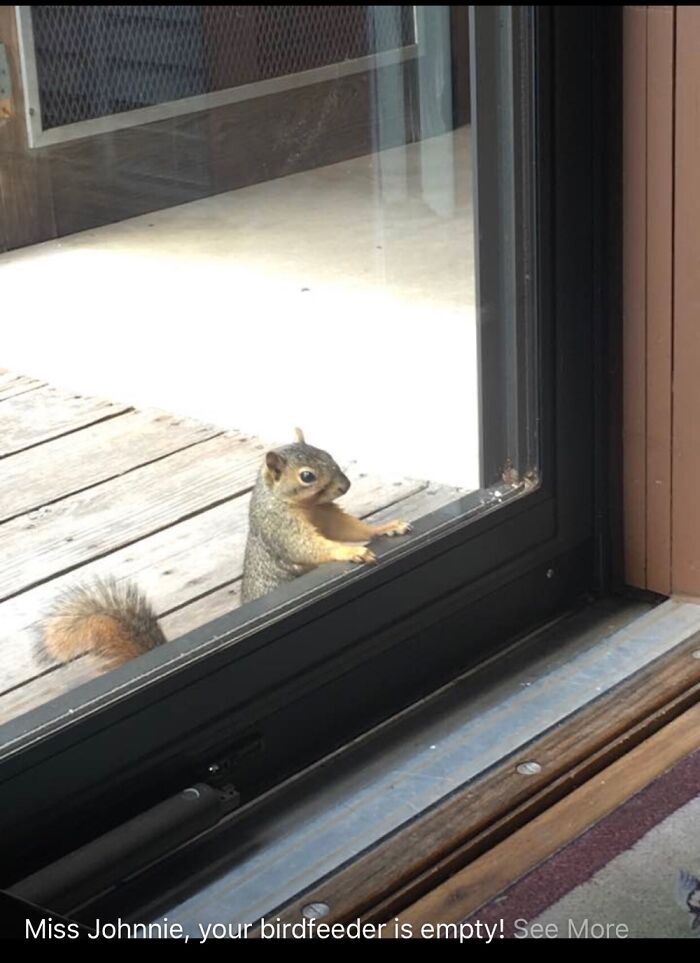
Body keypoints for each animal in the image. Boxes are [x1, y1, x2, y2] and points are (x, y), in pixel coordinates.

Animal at [41, 430, 410, 668]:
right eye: (307, 476)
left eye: (328, 455)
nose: (345, 485)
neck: (304, 507)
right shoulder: (281, 529)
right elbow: (309, 547)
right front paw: (350, 553)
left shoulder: (327, 517)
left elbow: (349, 528)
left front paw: (385, 527)